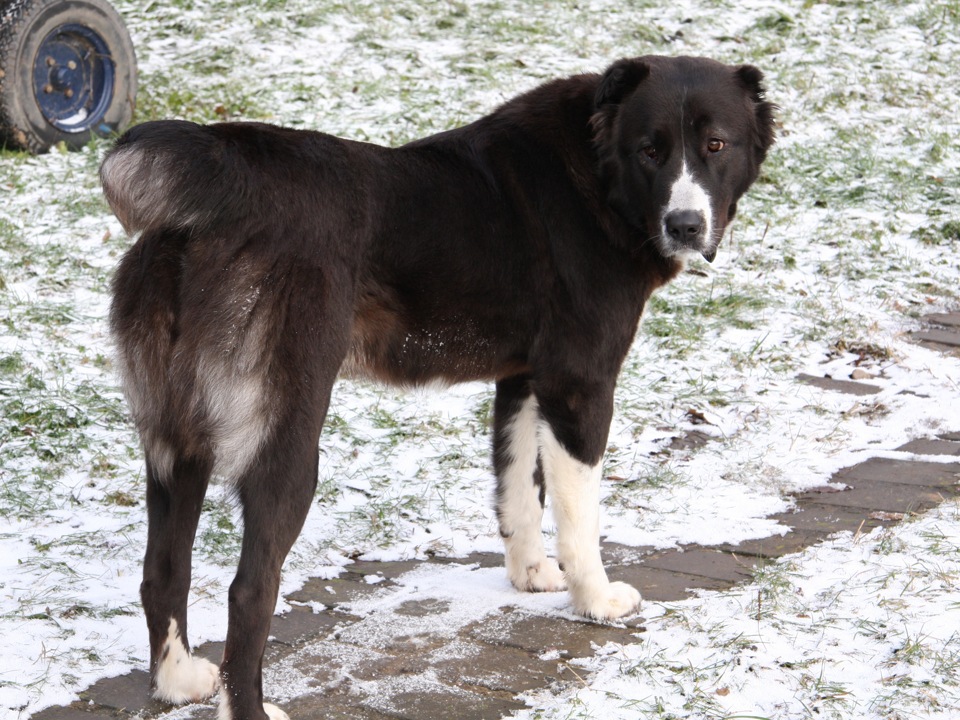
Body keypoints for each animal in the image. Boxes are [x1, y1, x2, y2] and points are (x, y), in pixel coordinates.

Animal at [101, 56, 772, 720]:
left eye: (715, 145)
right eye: (650, 151)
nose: (685, 225)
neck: (595, 169)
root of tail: (216, 191)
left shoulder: (524, 380)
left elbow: (519, 490)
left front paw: (531, 575)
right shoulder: (580, 387)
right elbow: (578, 516)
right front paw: (596, 600)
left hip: (179, 442)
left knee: (163, 570)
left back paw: (178, 680)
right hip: (288, 445)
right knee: (249, 591)